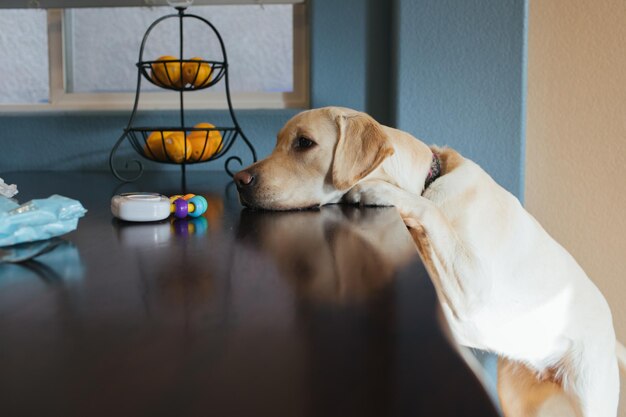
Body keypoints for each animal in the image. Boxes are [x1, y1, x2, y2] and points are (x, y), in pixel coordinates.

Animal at [232, 106, 616, 412]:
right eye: (278, 142)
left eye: (304, 143)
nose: (238, 179)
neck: (426, 181)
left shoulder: (473, 283)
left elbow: (429, 211)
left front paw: (379, 192)